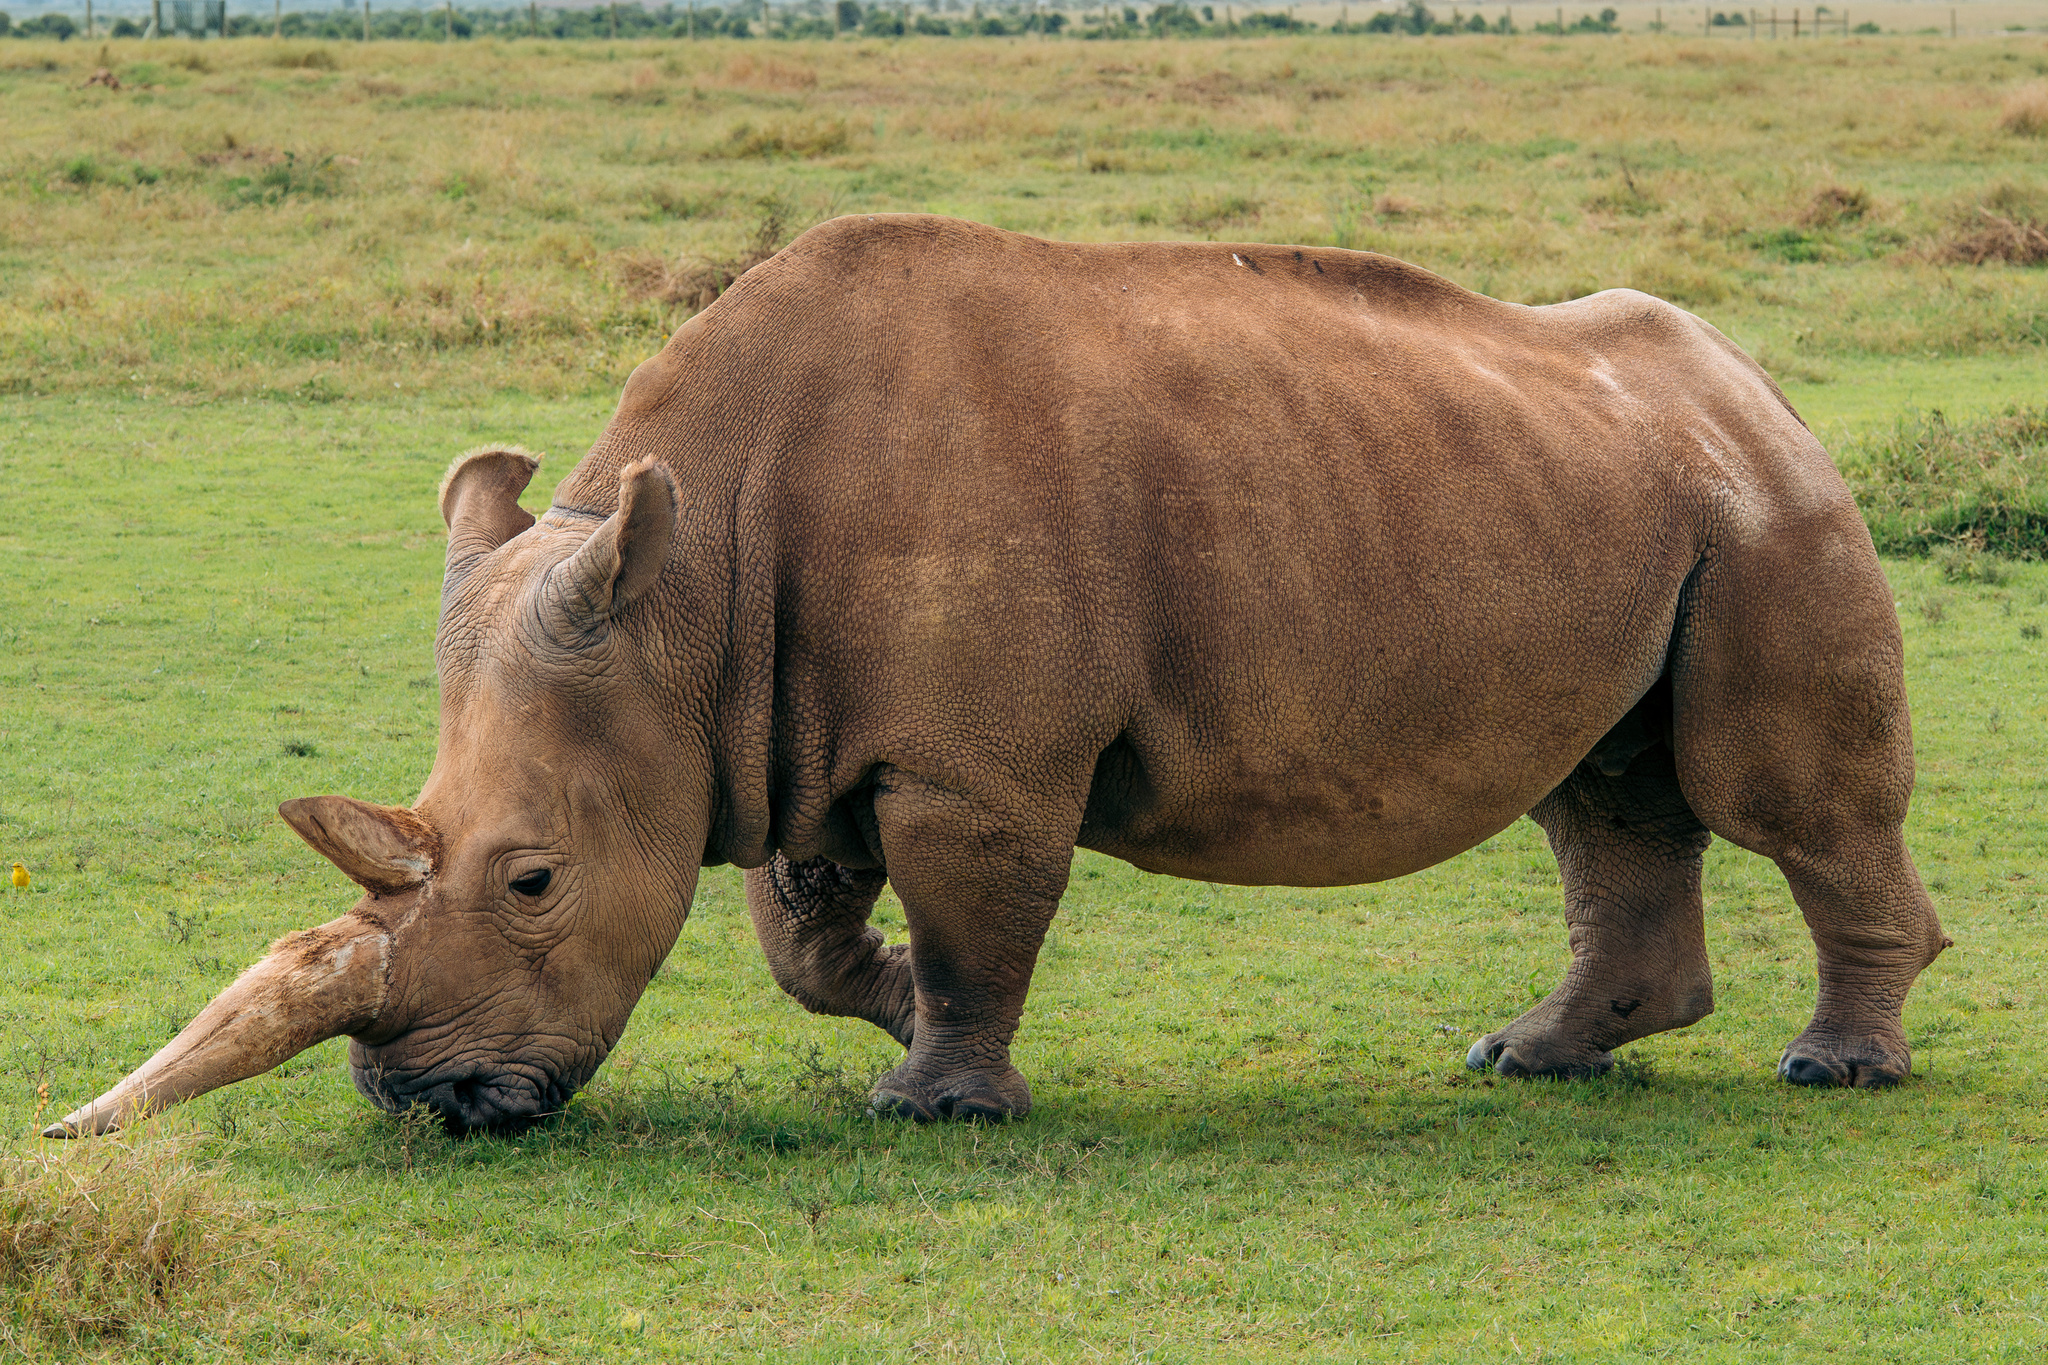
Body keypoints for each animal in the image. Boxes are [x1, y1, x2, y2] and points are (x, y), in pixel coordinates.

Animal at [48, 215, 1950, 1138]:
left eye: (530, 880)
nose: (430, 1109)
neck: (687, 578)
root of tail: (1758, 380)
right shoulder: (775, 717)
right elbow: (802, 934)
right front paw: (889, 1009)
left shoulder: (965, 761)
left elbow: (975, 913)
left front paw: (933, 1105)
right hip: (1626, 495)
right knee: (1601, 794)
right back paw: (1530, 1063)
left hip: (1765, 503)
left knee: (1770, 799)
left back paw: (1833, 1075)